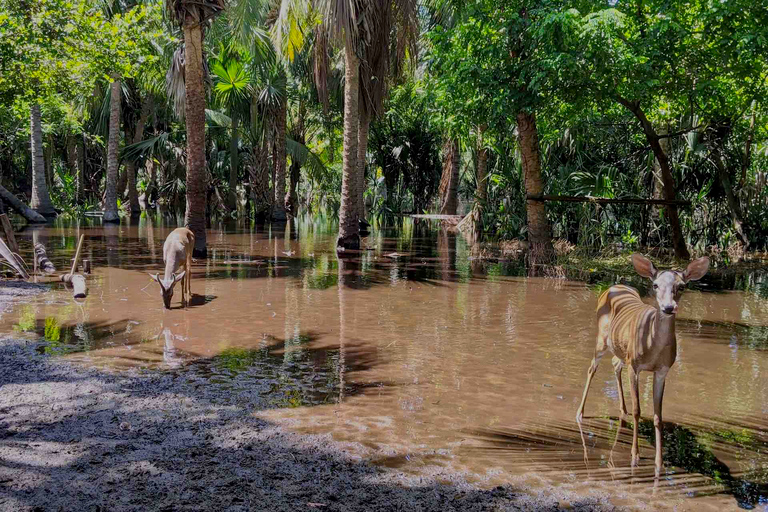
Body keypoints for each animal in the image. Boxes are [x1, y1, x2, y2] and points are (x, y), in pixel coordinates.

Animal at [572, 254, 712, 474]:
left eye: (681, 286)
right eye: (655, 285)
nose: (668, 307)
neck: (653, 348)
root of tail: (614, 286)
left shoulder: (662, 370)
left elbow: (658, 416)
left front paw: (659, 462)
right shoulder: (635, 366)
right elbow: (638, 410)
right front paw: (635, 455)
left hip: (621, 348)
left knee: (615, 363)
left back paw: (622, 410)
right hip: (602, 337)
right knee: (592, 368)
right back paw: (580, 413)